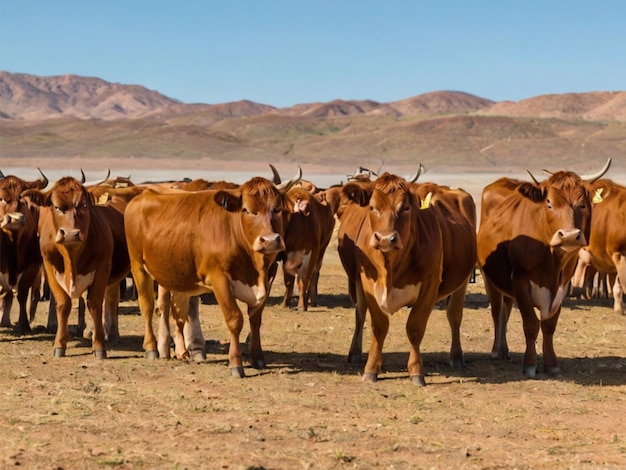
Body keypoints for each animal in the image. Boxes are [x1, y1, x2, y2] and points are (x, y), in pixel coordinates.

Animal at [0, 171, 48, 332]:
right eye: (1, 198)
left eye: (20, 200)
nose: (15, 219)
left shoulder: (33, 264)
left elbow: (22, 293)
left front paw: (24, 324)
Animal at [23, 175, 130, 356]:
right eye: (56, 206)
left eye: (84, 205)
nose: (70, 234)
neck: (71, 256)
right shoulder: (49, 267)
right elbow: (63, 304)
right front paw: (59, 345)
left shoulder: (102, 267)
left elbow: (94, 304)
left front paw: (99, 347)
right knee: (111, 299)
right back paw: (108, 334)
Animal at [124, 173, 300, 378]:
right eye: (246, 210)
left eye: (277, 208)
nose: (270, 240)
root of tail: (143, 196)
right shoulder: (219, 279)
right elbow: (235, 319)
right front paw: (236, 364)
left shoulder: (268, 277)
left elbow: (255, 320)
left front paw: (257, 357)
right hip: (138, 267)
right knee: (147, 306)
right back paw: (152, 348)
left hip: (172, 274)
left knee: (176, 311)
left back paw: (180, 351)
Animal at [336, 173, 472, 386]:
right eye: (372, 207)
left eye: (406, 208)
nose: (385, 239)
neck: (390, 267)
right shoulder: (367, 282)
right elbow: (379, 326)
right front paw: (371, 369)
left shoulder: (430, 285)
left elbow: (415, 328)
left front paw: (416, 372)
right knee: (360, 314)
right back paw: (355, 353)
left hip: (463, 282)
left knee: (454, 315)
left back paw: (456, 357)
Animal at [478, 160, 608, 376]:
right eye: (549, 203)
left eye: (582, 204)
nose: (570, 236)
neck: (551, 262)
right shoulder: (521, 281)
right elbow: (531, 324)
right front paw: (530, 364)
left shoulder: (562, 286)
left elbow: (549, 325)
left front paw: (551, 363)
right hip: (490, 278)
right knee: (497, 312)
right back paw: (496, 350)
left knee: (505, 309)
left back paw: (504, 350)